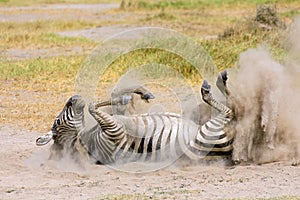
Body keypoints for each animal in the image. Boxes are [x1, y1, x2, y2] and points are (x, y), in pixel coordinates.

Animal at [35, 71, 234, 165]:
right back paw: (210, 88)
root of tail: (228, 152)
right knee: (228, 112)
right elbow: (92, 107)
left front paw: (142, 93)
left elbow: (114, 93)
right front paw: (126, 97)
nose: (72, 98)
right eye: (57, 122)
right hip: (206, 133)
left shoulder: (123, 117)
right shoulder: (115, 128)